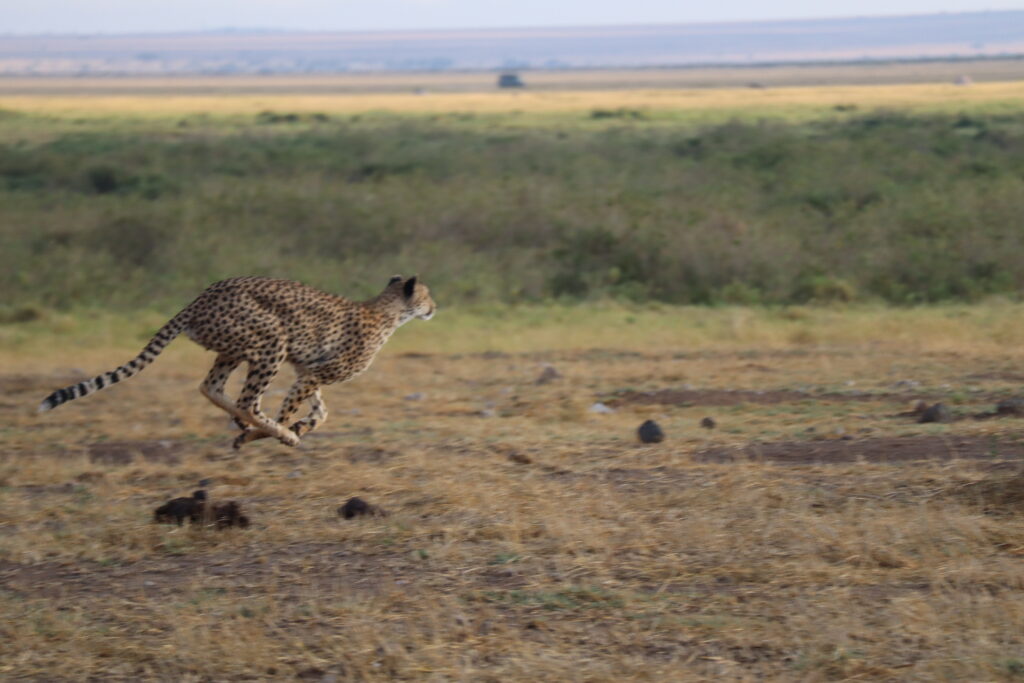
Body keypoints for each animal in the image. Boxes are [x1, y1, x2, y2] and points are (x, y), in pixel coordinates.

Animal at [38, 275, 436, 449]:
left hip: (234, 348)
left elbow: (321, 411)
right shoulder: (314, 372)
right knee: (247, 400)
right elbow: (290, 410)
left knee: (210, 386)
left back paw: (244, 424)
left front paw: (301, 425)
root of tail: (202, 296)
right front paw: (282, 432)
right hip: (271, 339)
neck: (389, 312)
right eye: (427, 295)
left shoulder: (306, 370)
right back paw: (266, 430)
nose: (434, 307)